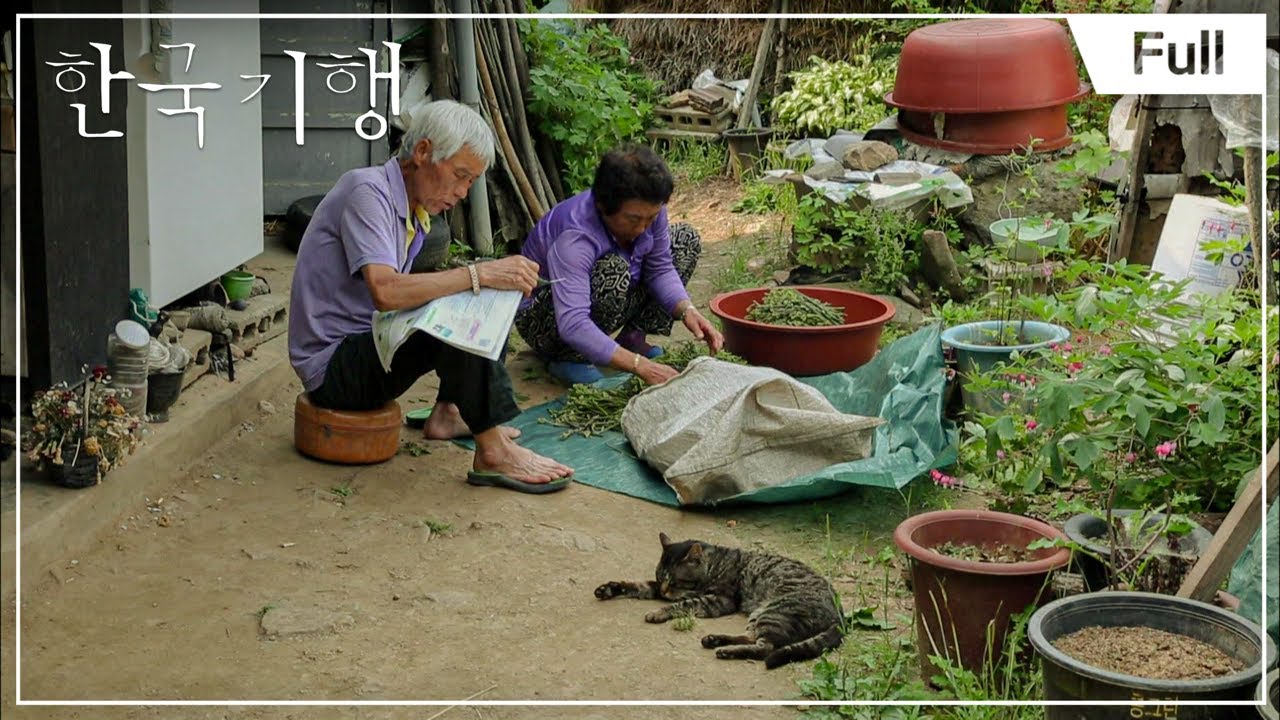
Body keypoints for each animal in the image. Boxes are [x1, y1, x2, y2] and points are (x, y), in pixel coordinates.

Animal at [593, 527, 844, 666]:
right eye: (660, 575)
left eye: (674, 581)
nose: (664, 591)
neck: (716, 564)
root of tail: (841, 614)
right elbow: (638, 585)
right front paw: (610, 588)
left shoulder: (718, 600)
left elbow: (683, 604)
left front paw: (659, 612)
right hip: (760, 614)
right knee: (752, 638)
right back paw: (715, 640)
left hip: (774, 612)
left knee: (766, 648)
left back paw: (725, 650)